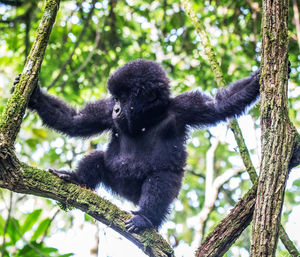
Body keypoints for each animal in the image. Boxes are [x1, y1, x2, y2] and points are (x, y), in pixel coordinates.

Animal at [14, 60, 258, 232]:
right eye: (115, 98)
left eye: (125, 98)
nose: (116, 109)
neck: (147, 117)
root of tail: (128, 196)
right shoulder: (105, 110)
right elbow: (76, 120)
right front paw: (35, 97)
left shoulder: (187, 107)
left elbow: (219, 105)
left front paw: (255, 81)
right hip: (116, 180)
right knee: (98, 158)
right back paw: (76, 178)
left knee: (161, 180)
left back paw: (145, 218)